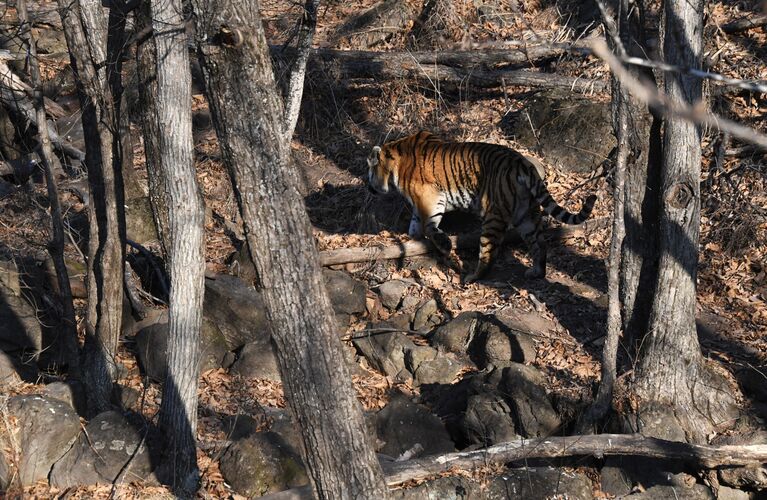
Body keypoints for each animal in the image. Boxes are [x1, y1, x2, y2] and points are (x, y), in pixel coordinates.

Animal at [368, 131, 600, 284]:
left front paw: (443, 244)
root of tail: (522, 164)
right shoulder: (421, 202)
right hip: (526, 215)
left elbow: (429, 225)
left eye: (369, 171)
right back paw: (536, 272)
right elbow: (416, 223)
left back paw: (472, 277)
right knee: (539, 244)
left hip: (493, 217)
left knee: (488, 254)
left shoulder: (431, 198)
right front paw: (413, 238)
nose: (369, 188)